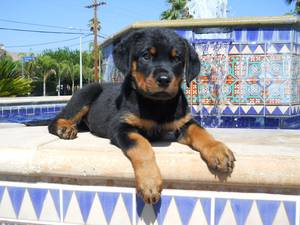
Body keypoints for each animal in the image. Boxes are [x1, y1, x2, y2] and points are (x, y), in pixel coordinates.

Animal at [49, 27, 236, 205]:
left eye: (176, 58)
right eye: (146, 56)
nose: (164, 79)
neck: (156, 104)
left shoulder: (183, 122)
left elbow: (201, 132)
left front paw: (218, 151)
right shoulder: (121, 127)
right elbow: (142, 145)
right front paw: (149, 183)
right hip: (86, 93)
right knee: (54, 120)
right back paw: (64, 128)